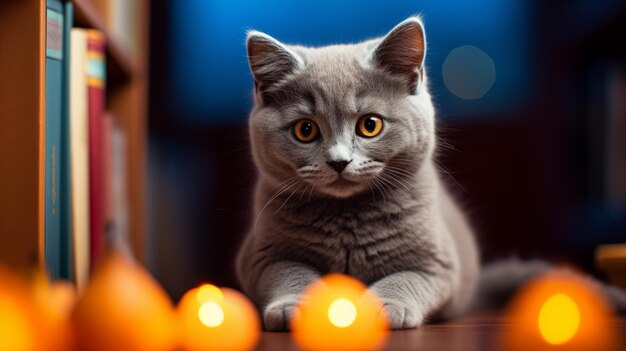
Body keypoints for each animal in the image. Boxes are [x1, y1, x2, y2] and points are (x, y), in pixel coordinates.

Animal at [235, 15, 624, 330]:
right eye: (305, 130)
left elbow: (404, 278)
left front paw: (383, 305)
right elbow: (291, 272)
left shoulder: (438, 265)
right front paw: (294, 305)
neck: (348, 218)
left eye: (370, 125)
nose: (339, 161)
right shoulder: (260, 258)